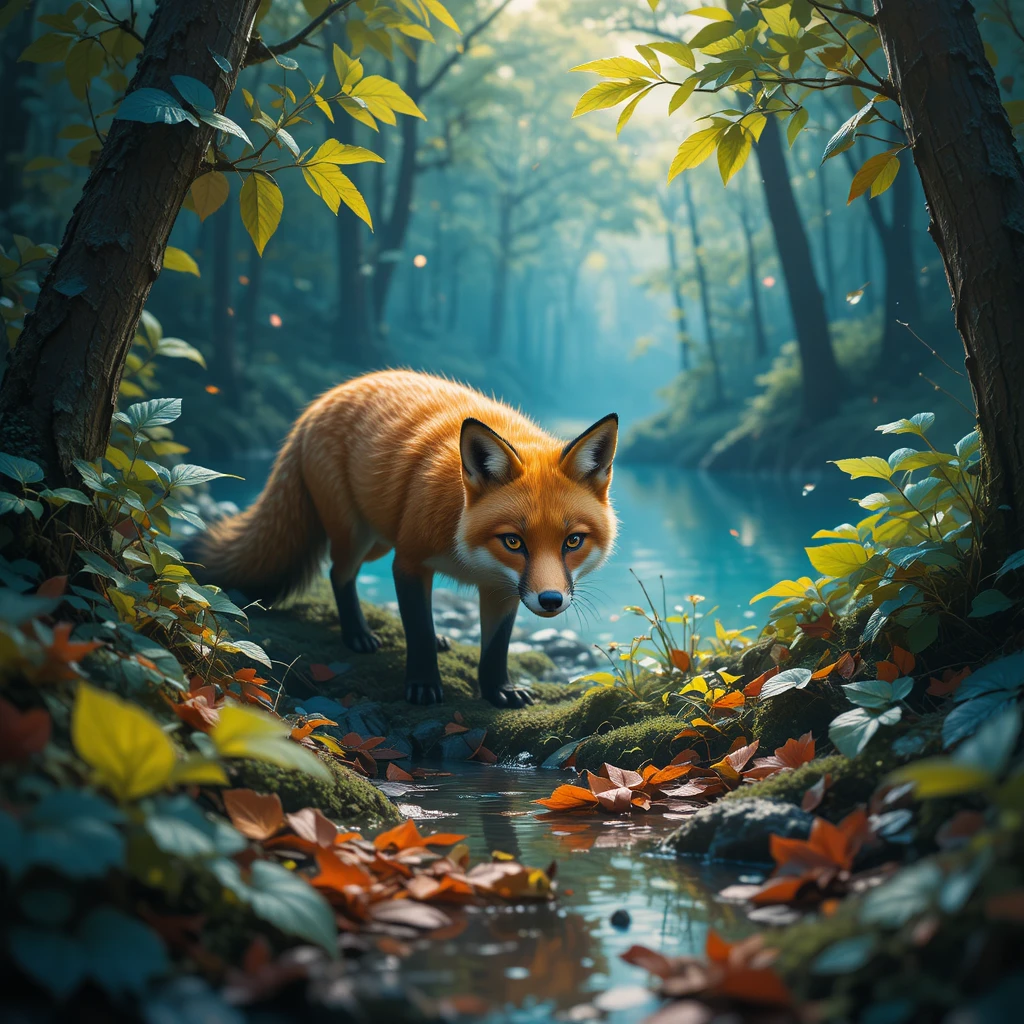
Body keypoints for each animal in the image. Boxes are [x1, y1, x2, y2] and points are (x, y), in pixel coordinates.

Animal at [195, 370, 618, 709]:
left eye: (573, 541)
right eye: (514, 542)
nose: (551, 600)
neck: (468, 552)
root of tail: (321, 401)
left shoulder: (501, 587)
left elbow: (496, 646)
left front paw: (498, 689)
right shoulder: (409, 563)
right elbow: (418, 629)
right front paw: (423, 685)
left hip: (378, 540)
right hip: (357, 534)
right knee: (338, 573)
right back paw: (358, 635)